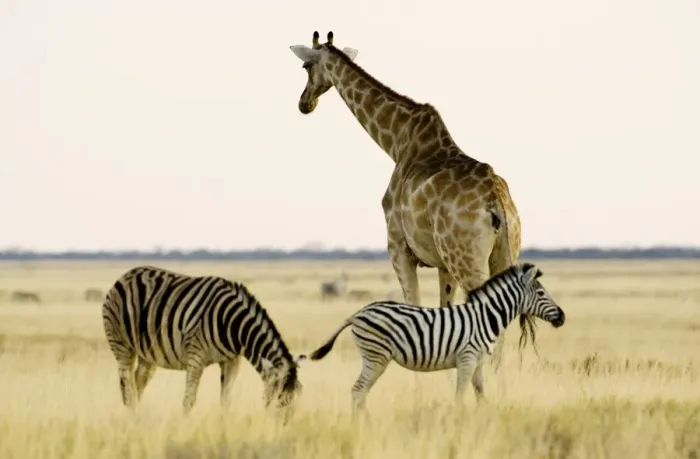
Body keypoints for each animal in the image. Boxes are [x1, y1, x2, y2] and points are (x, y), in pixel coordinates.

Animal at [101, 265, 303, 417]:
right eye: (279, 398)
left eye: (298, 397)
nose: (284, 426)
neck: (232, 325)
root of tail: (125, 275)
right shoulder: (196, 356)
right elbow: (189, 401)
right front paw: (185, 427)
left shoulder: (232, 360)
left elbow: (226, 400)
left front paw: (224, 425)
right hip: (121, 344)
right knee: (127, 386)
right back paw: (131, 418)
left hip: (148, 354)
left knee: (138, 384)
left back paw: (137, 417)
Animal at [289, 31, 536, 371]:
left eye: (305, 66)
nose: (305, 103)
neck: (396, 142)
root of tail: (496, 201)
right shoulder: (443, 265)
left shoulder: (399, 248)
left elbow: (414, 311)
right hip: (504, 252)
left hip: (468, 260)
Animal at [299, 262, 565, 413]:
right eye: (542, 293)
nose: (562, 317)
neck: (485, 317)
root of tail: (357, 313)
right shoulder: (467, 358)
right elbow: (460, 395)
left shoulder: (476, 361)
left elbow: (479, 390)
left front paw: (483, 414)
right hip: (376, 357)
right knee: (358, 391)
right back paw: (364, 426)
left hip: (373, 357)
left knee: (359, 392)